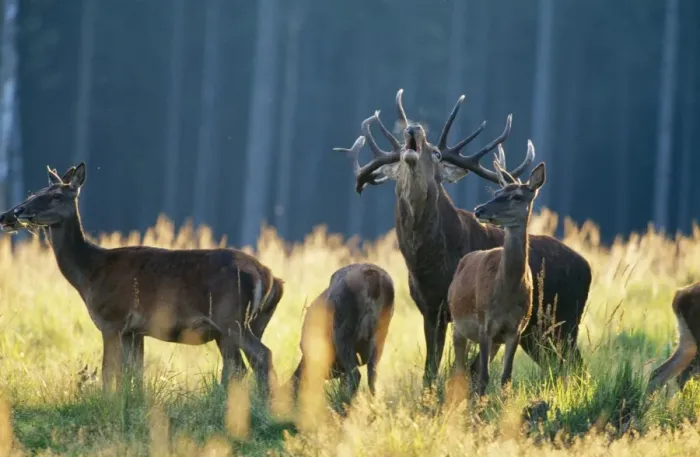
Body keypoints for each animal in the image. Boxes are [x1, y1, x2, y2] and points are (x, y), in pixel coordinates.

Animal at [0, 162, 284, 399]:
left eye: (56, 196)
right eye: (34, 193)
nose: (12, 213)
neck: (90, 274)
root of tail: (269, 276)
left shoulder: (112, 320)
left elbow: (109, 371)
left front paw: (107, 403)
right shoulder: (134, 331)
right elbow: (133, 373)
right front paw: (131, 402)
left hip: (231, 317)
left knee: (261, 355)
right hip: (249, 323)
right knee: (239, 366)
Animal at [448, 150, 545, 397]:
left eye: (517, 196)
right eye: (497, 192)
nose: (479, 209)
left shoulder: (515, 329)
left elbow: (506, 378)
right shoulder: (485, 324)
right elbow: (484, 377)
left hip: (494, 341)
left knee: (471, 369)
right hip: (458, 326)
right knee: (460, 371)